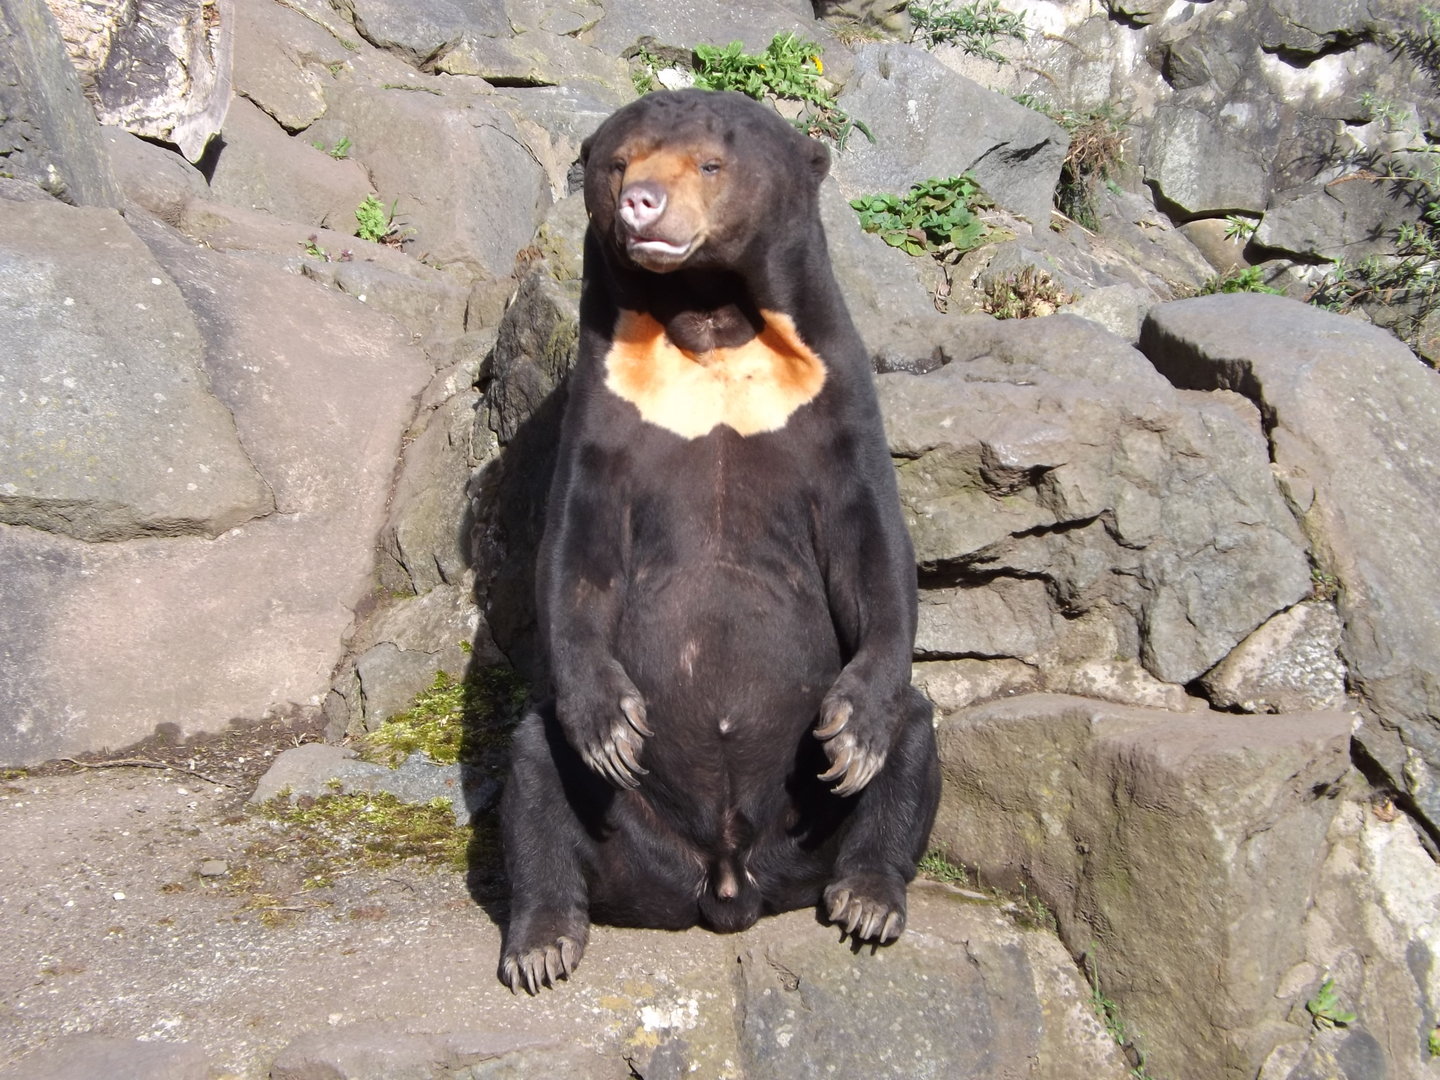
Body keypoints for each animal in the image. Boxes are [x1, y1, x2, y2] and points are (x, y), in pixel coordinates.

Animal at [497, 89, 941, 994]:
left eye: (709, 163)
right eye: (620, 161)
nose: (642, 204)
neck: (709, 318)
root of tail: (728, 884)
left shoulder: (830, 396)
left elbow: (871, 551)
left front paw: (853, 734)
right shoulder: (607, 400)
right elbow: (576, 556)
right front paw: (611, 728)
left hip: (809, 817)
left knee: (917, 735)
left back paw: (867, 897)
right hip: (622, 833)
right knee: (533, 767)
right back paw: (543, 940)